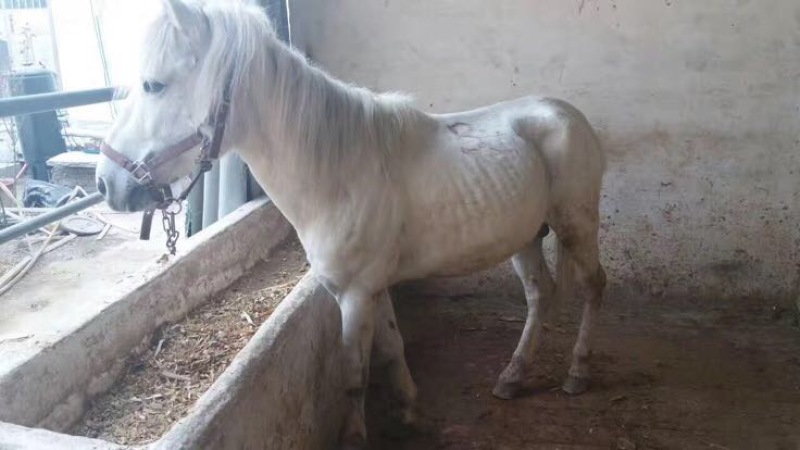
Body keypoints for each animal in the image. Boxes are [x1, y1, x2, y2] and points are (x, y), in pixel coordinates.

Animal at [95, 0, 607, 447]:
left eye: (154, 85)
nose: (107, 182)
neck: (338, 172)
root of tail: (569, 114)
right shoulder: (374, 289)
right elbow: (391, 350)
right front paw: (410, 414)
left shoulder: (355, 294)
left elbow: (354, 375)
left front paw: (356, 437)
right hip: (525, 238)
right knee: (540, 295)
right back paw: (512, 377)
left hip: (577, 226)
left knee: (593, 286)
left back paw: (578, 373)